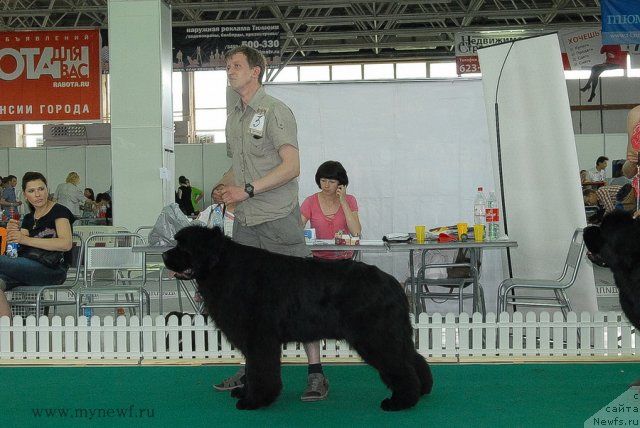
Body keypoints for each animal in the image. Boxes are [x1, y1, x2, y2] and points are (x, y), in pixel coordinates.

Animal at [160, 227, 432, 412]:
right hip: (390, 333)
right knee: (412, 358)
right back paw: (423, 390)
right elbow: (251, 368)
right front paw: (244, 391)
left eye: (183, 247)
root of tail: (392, 283)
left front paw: (254, 400)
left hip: (375, 336)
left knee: (400, 366)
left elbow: (259, 370)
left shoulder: (260, 339)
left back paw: (401, 401)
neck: (222, 267)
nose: (163, 255)